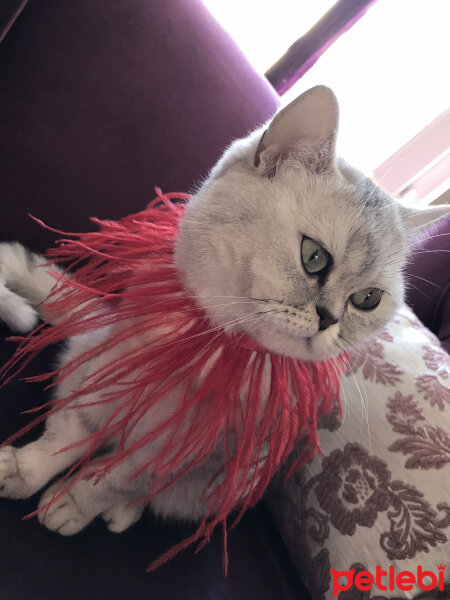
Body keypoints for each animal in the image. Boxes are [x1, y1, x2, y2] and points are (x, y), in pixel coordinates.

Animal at [0, 85, 446, 536]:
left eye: (367, 299)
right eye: (314, 257)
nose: (330, 321)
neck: (210, 347)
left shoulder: (180, 456)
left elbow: (114, 480)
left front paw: (74, 503)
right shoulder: (106, 379)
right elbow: (68, 434)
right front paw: (25, 470)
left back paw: (121, 513)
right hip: (84, 358)